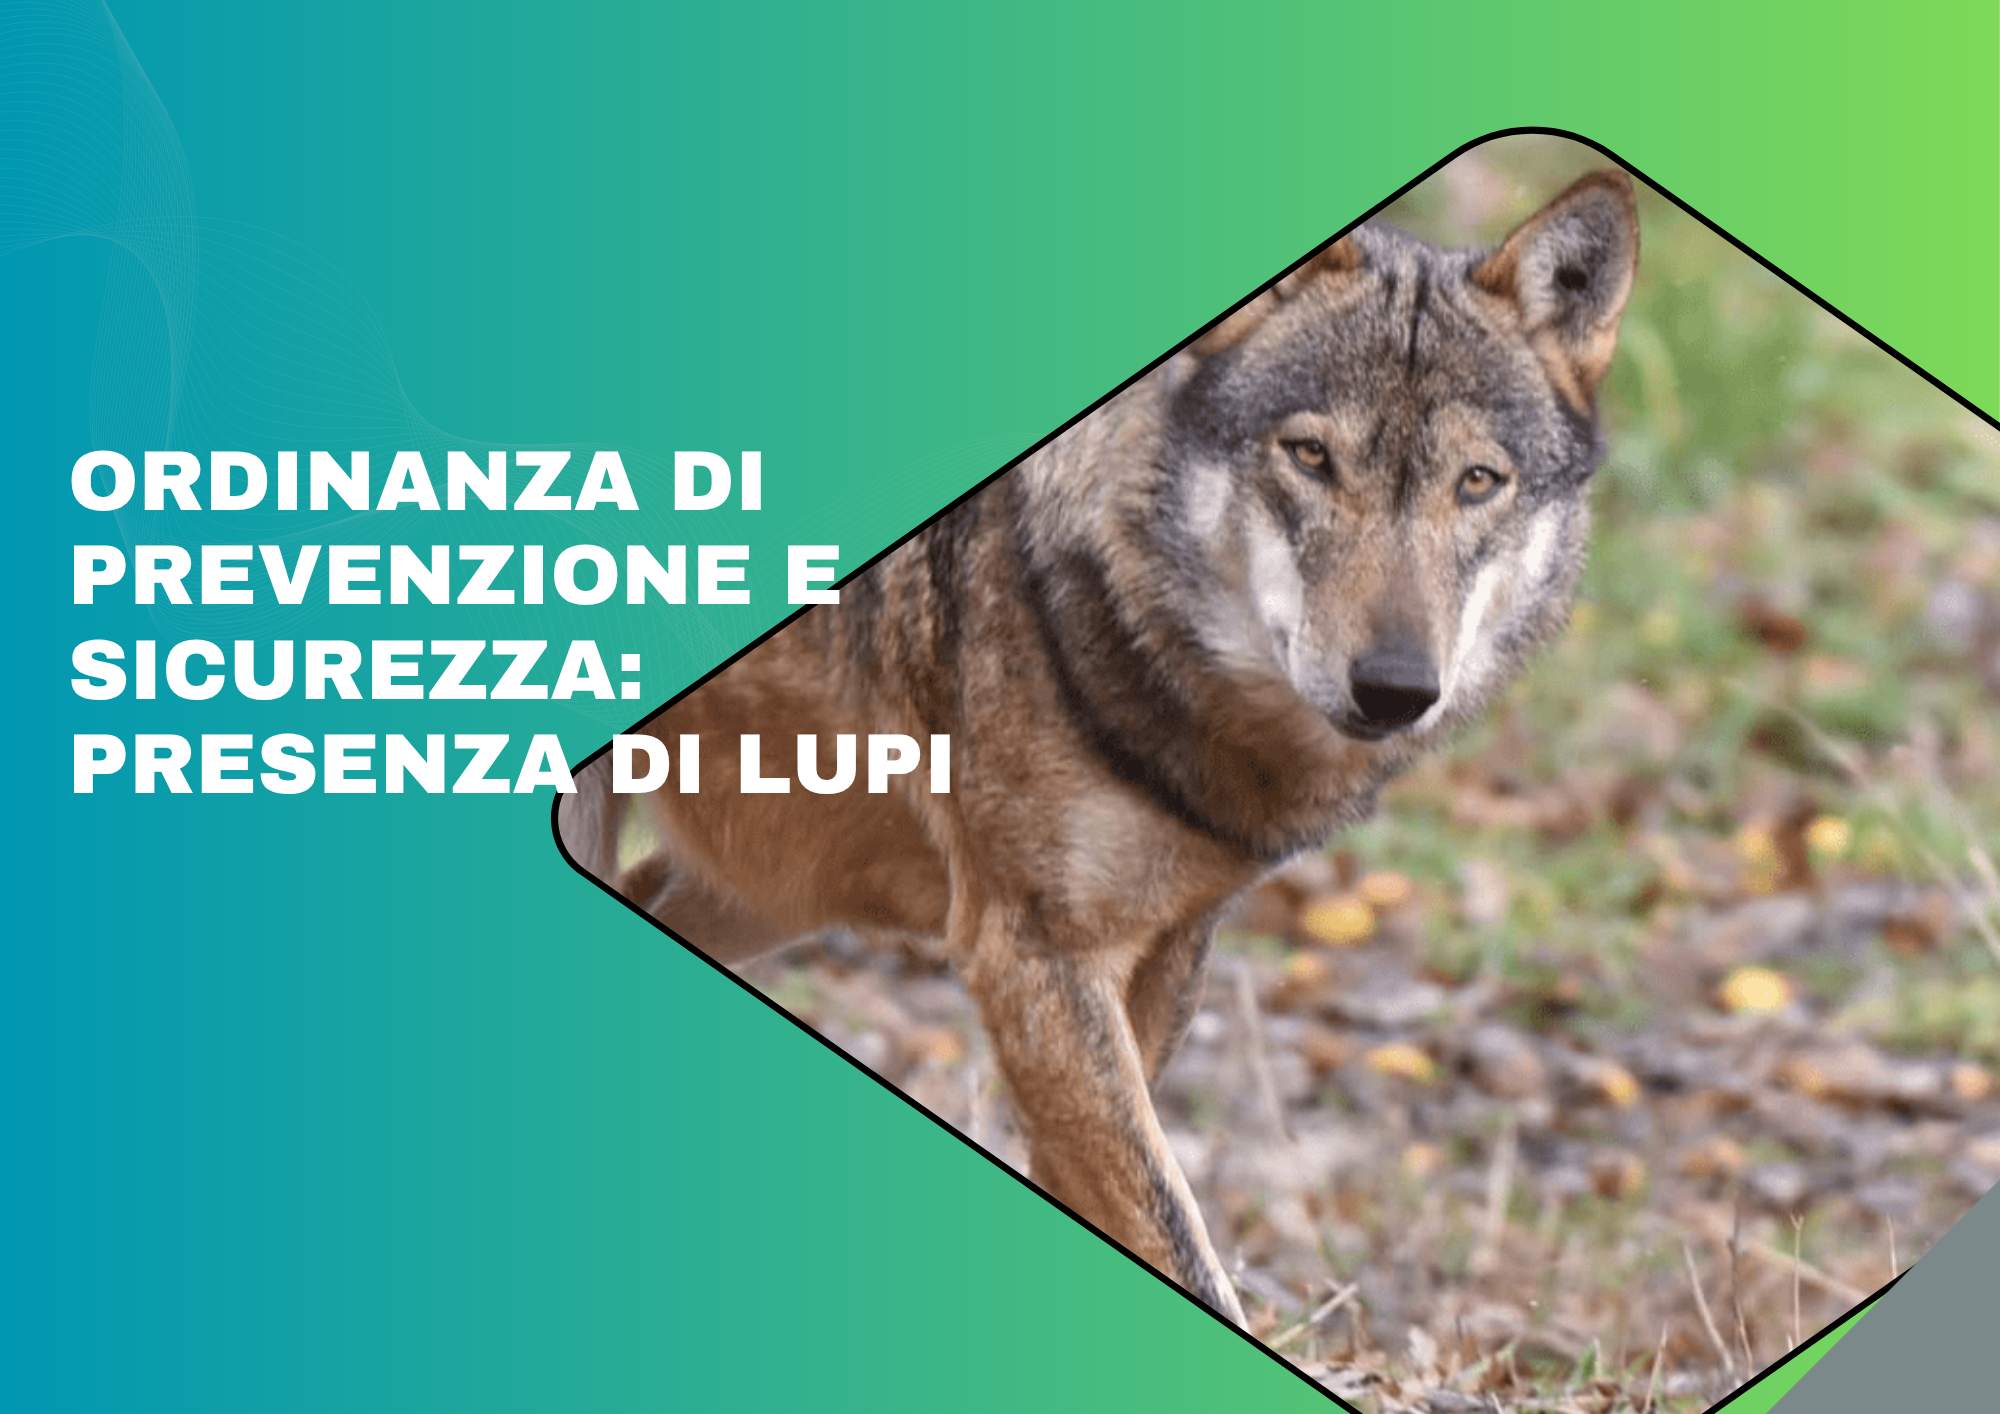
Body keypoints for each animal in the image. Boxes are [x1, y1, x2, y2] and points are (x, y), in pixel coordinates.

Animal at [560, 171, 1638, 1326]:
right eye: (1310, 457)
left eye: (1477, 481)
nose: (1394, 688)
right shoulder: (1033, 956)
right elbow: (1180, 1242)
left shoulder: (1164, 950)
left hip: (776, 885)